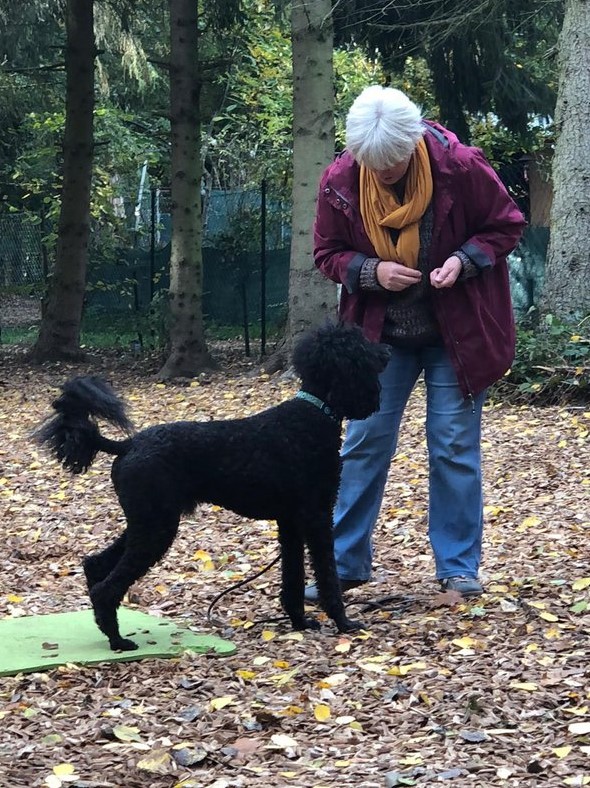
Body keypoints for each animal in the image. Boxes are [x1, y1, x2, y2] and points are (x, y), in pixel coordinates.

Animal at [34, 324, 390, 648]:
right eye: (360, 346)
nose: (387, 350)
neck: (313, 412)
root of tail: (127, 445)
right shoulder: (316, 517)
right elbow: (327, 574)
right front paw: (344, 622)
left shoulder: (290, 523)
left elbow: (293, 577)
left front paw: (299, 621)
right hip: (156, 526)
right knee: (106, 586)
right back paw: (118, 640)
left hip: (147, 521)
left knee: (95, 565)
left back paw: (106, 628)